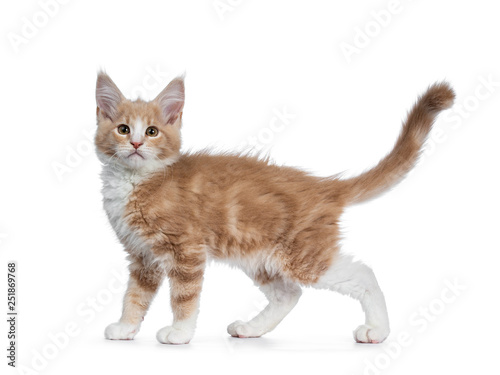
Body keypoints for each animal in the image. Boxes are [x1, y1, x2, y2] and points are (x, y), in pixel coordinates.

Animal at [95, 72, 456, 346]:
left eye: (152, 131)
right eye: (123, 129)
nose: (136, 144)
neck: (137, 181)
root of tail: (323, 185)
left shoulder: (186, 250)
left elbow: (184, 298)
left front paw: (180, 333)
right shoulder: (142, 257)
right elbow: (134, 297)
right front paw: (125, 328)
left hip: (305, 257)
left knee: (363, 274)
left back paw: (377, 330)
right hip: (261, 256)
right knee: (288, 294)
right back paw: (252, 329)